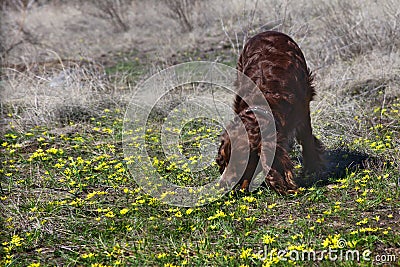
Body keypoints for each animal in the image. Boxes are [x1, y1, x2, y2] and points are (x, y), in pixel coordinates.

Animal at [216, 31, 324, 195]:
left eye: (241, 162)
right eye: (224, 158)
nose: (222, 186)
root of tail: (267, 32)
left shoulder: (302, 111)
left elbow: (307, 140)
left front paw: (311, 169)